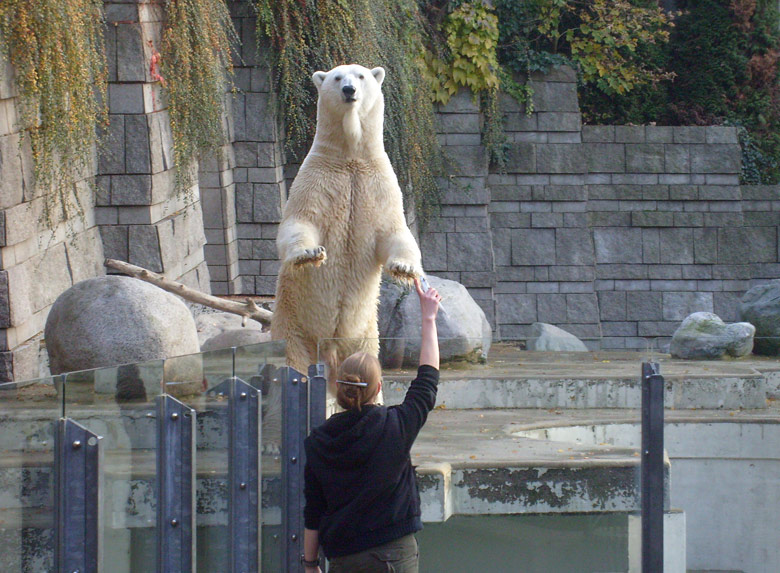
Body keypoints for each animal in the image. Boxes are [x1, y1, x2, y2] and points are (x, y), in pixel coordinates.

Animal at [272, 62, 424, 384]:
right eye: (337, 77)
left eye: (361, 76)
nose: (349, 90)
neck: (350, 157)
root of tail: (328, 355)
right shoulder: (317, 180)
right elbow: (300, 222)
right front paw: (309, 254)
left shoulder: (378, 185)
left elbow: (394, 232)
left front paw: (404, 268)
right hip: (291, 325)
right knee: (292, 364)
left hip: (365, 335)